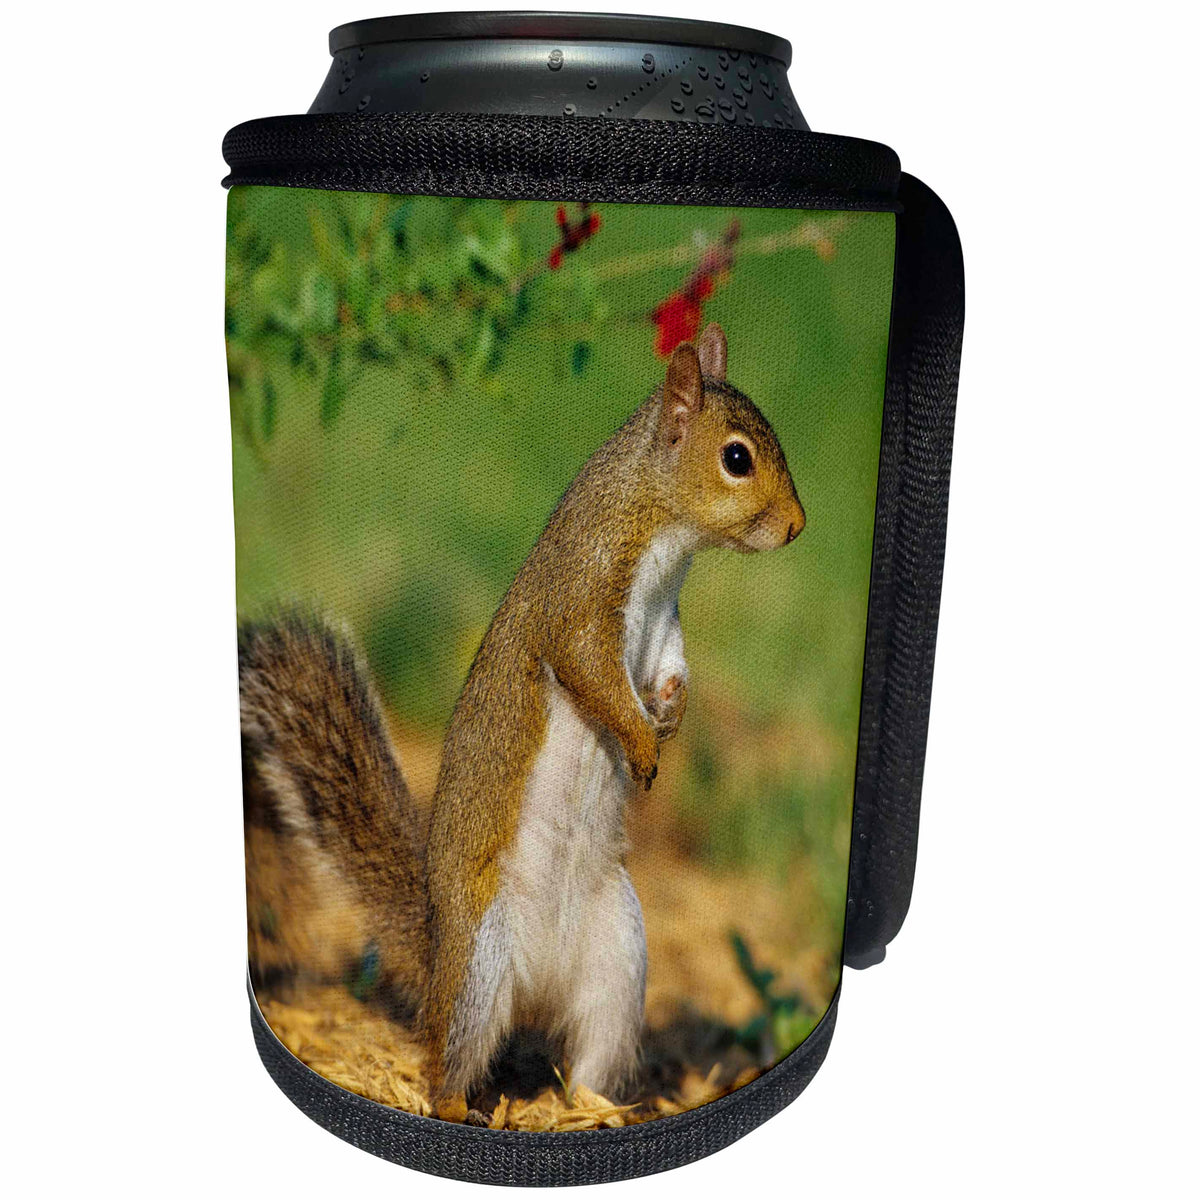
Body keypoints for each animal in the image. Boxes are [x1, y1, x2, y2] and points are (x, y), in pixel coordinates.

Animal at [238, 323, 805, 1111]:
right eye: (737, 458)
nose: (798, 527)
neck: (655, 523)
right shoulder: (581, 592)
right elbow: (591, 672)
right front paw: (641, 737)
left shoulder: (665, 626)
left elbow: (670, 670)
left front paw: (670, 712)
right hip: (482, 962)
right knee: (449, 1061)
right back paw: (460, 1107)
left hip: (619, 959)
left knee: (590, 1054)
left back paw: (598, 1111)